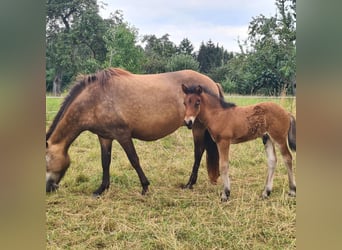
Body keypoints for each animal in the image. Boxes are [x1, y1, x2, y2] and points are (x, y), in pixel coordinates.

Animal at [46, 68, 222, 195]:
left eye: (46, 162)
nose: (48, 189)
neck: (95, 99)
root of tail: (212, 83)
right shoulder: (104, 137)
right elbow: (105, 162)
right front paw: (101, 189)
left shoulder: (123, 135)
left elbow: (134, 160)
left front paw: (145, 187)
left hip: (198, 127)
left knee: (198, 152)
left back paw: (189, 184)